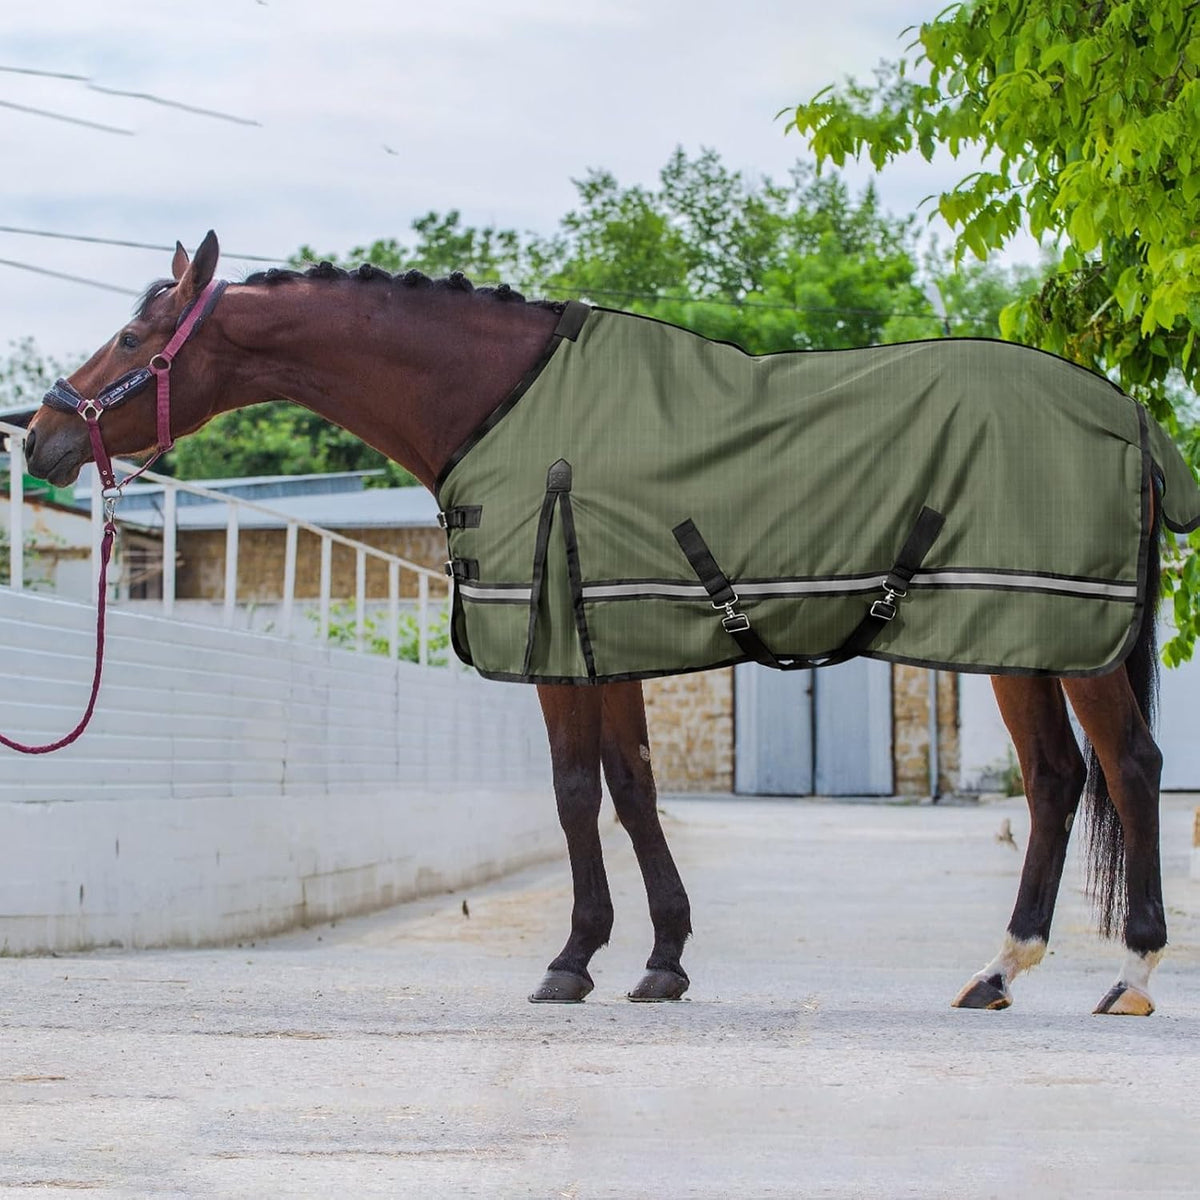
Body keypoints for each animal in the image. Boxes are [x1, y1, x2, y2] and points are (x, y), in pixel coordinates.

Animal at [22, 231, 1179, 1017]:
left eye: (134, 334)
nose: (37, 436)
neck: (500, 402)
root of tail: (1128, 411)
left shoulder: (560, 647)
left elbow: (580, 793)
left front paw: (573, 960)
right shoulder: (602, 644)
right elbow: (635, 790)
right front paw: (662, 959)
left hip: (1067, 640)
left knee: (1129, 765)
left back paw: (1130, 971)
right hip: (1017, 638)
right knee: (1055, 779)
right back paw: (998, 969)